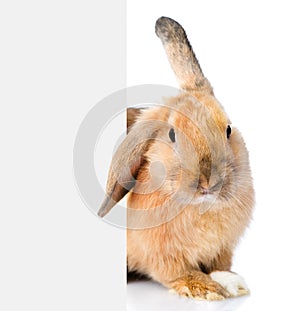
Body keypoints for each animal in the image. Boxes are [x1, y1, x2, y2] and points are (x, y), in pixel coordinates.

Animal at [98, 15, 253, 302]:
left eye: (228, 130)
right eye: (172, 134)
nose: (207, 182)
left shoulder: (222, 249)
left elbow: (219, 266)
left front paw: (232, 282)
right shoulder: (161, 255)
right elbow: (175, 272)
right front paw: (203, 288)